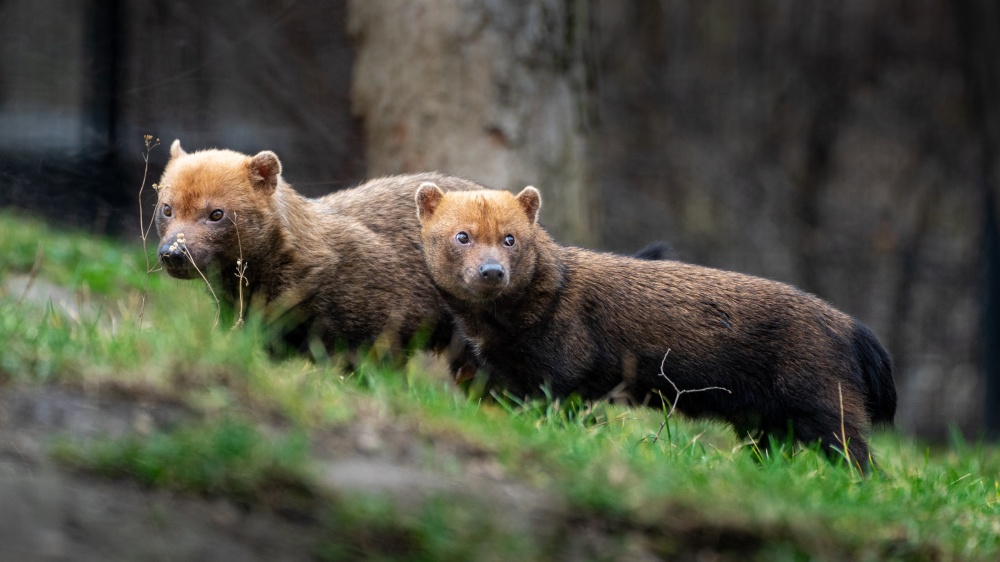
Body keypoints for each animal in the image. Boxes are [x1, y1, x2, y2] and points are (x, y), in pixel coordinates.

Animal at [414, 183, 900, 464]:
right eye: (462, 235)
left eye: (510, 238)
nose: (492, 271)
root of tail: (853, 326)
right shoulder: (503, 380)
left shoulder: (563, 376)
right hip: (765, 421)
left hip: (825, 406)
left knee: (861, 461)